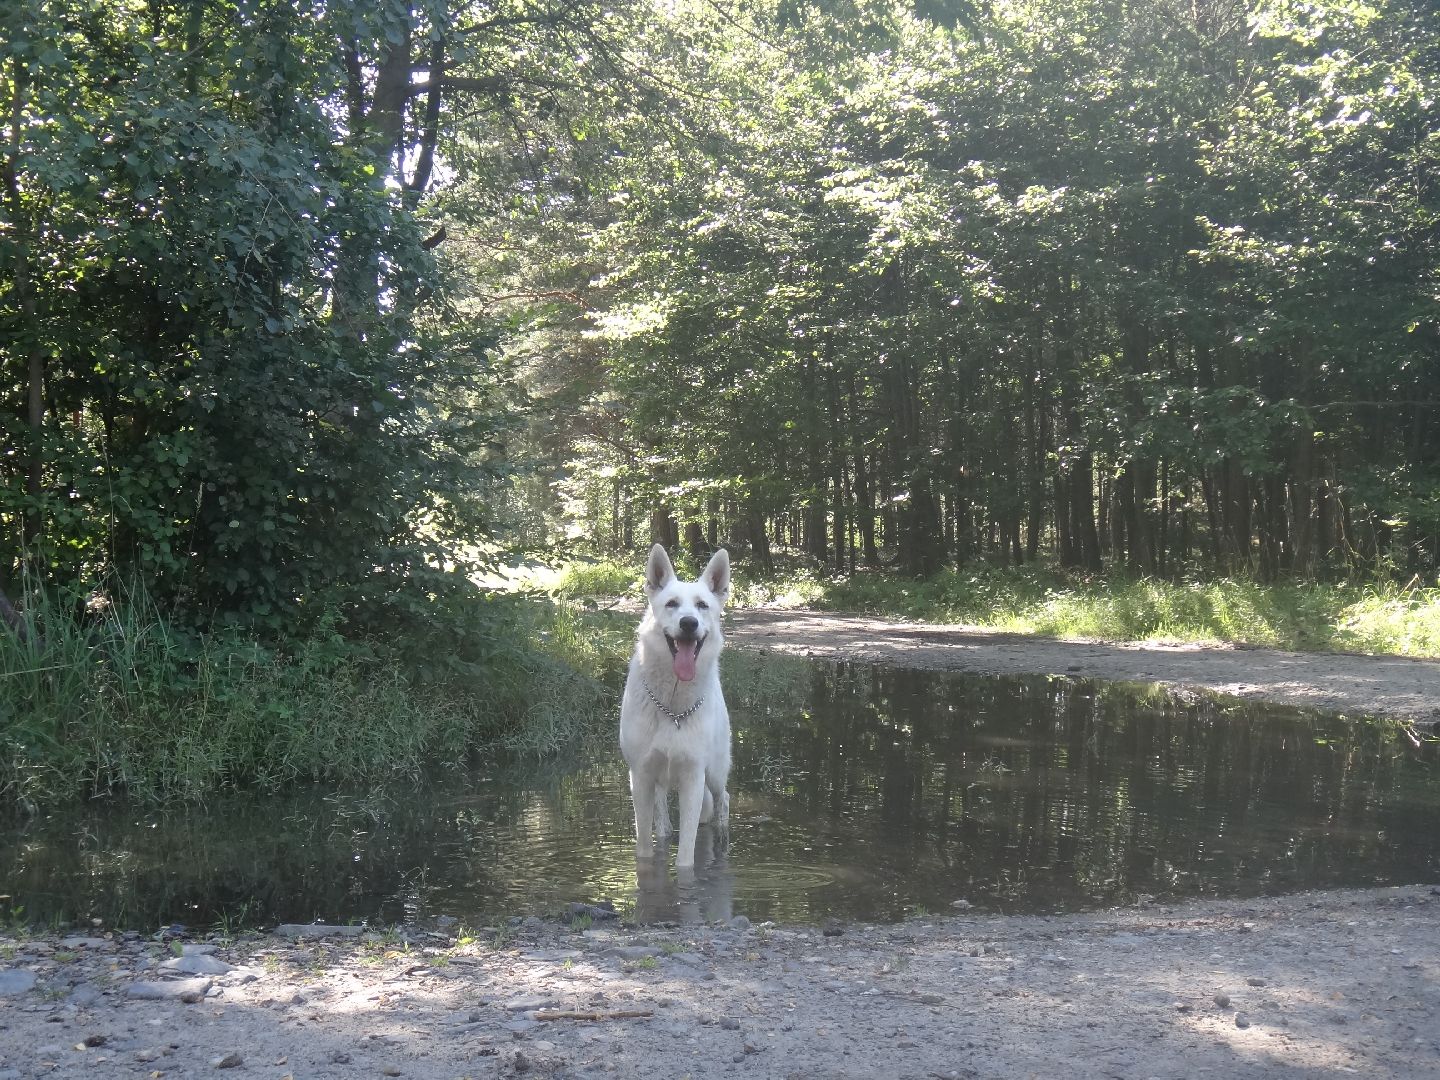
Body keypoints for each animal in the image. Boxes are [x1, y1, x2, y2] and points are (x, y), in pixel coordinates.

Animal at [619, 544, 731, 869]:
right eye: (671, 604)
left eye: (702, 606)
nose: (688, 623)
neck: (672, 708)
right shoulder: (640, 776)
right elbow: (645, 844)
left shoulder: (693, 778)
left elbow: (686, 854)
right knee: (663, 821)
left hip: (715, 772)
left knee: (723, 801)